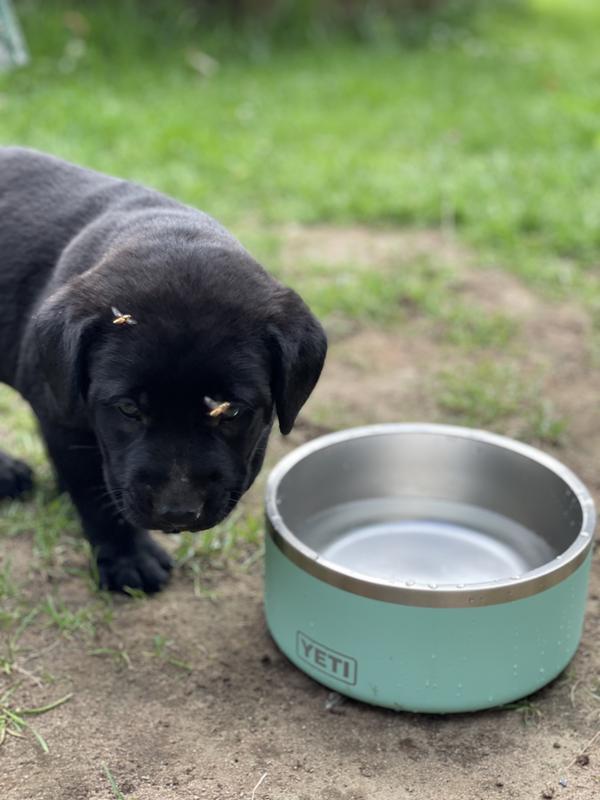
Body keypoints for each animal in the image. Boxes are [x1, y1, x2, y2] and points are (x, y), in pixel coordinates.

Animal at [0, 147, 326, 592]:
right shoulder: (61, 415)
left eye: (231, 411)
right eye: (128, 409)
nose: (177, 512)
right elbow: (94, 490)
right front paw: (129, 559)